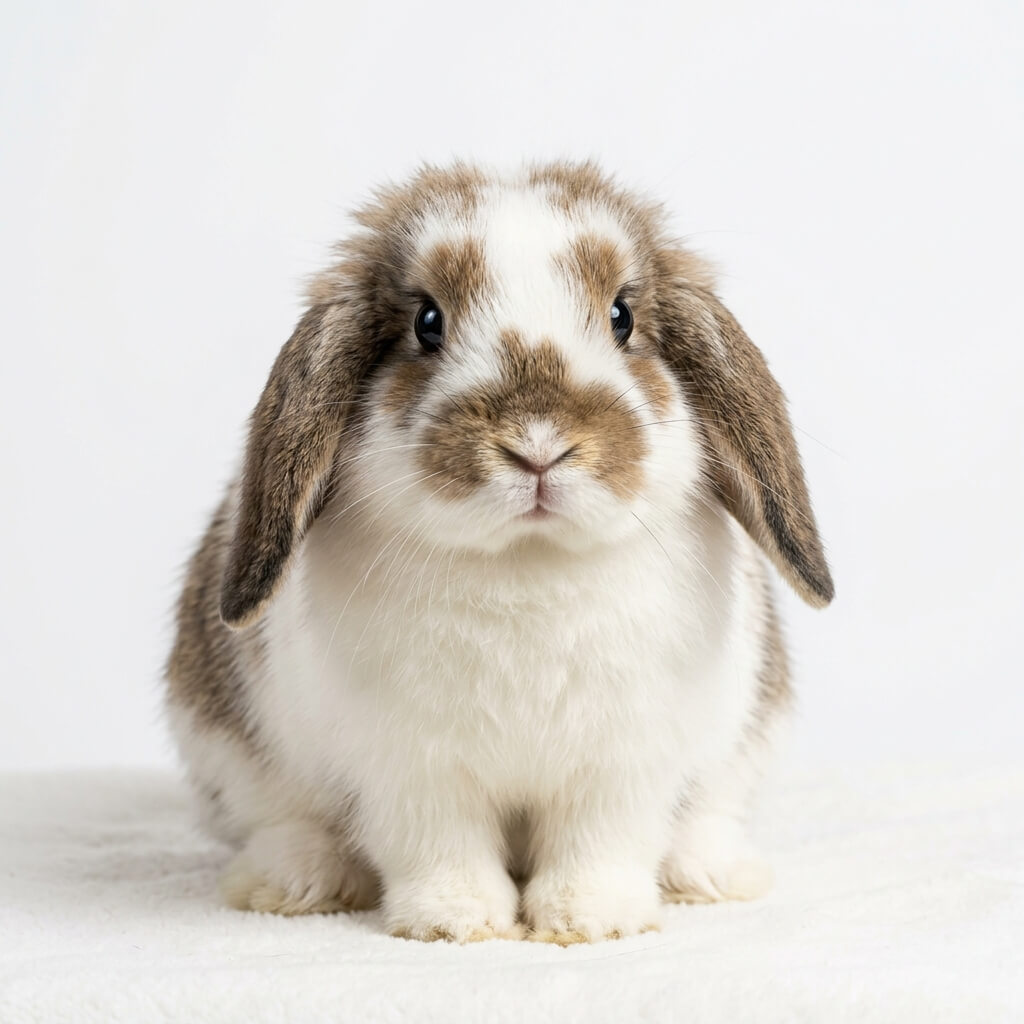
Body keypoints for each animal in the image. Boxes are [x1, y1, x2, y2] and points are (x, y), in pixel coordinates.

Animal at [165, 160, 833, 944]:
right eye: (427, 322)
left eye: (622, 316)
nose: (538, 444)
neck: (526, 562)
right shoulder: (410, 769)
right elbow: (438, 845)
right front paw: (458, 922)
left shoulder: (621, 764)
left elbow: (601, 842)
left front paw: (587, 920)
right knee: (282, 820)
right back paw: (296, 883)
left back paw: (710, 876)